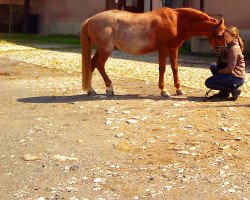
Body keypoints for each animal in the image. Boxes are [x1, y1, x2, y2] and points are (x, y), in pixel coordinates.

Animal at [81, 7, 226, 97]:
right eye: (219, 34)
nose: (224, 52)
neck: (176, 21)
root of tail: (90, 19)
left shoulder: (174, 49)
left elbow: (175, 68)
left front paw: (179, 89)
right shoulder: (163, 49)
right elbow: (162, 68)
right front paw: (164, 90)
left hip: (100, 50)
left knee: (92, 65)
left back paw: (91, 90)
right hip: (106, 50)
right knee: (99, 65)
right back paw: (109, 88)